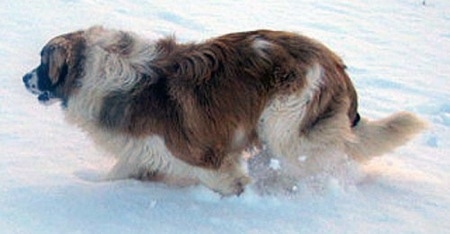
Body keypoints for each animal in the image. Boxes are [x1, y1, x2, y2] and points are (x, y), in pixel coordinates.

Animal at [22, 26, 428, 197]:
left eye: (42, 62)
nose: (24, 78)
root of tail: (335, 63)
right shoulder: (145, 151)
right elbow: (117, 175)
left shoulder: (202, 157)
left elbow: (226, 181)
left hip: (286, 124)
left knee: (316, 158)